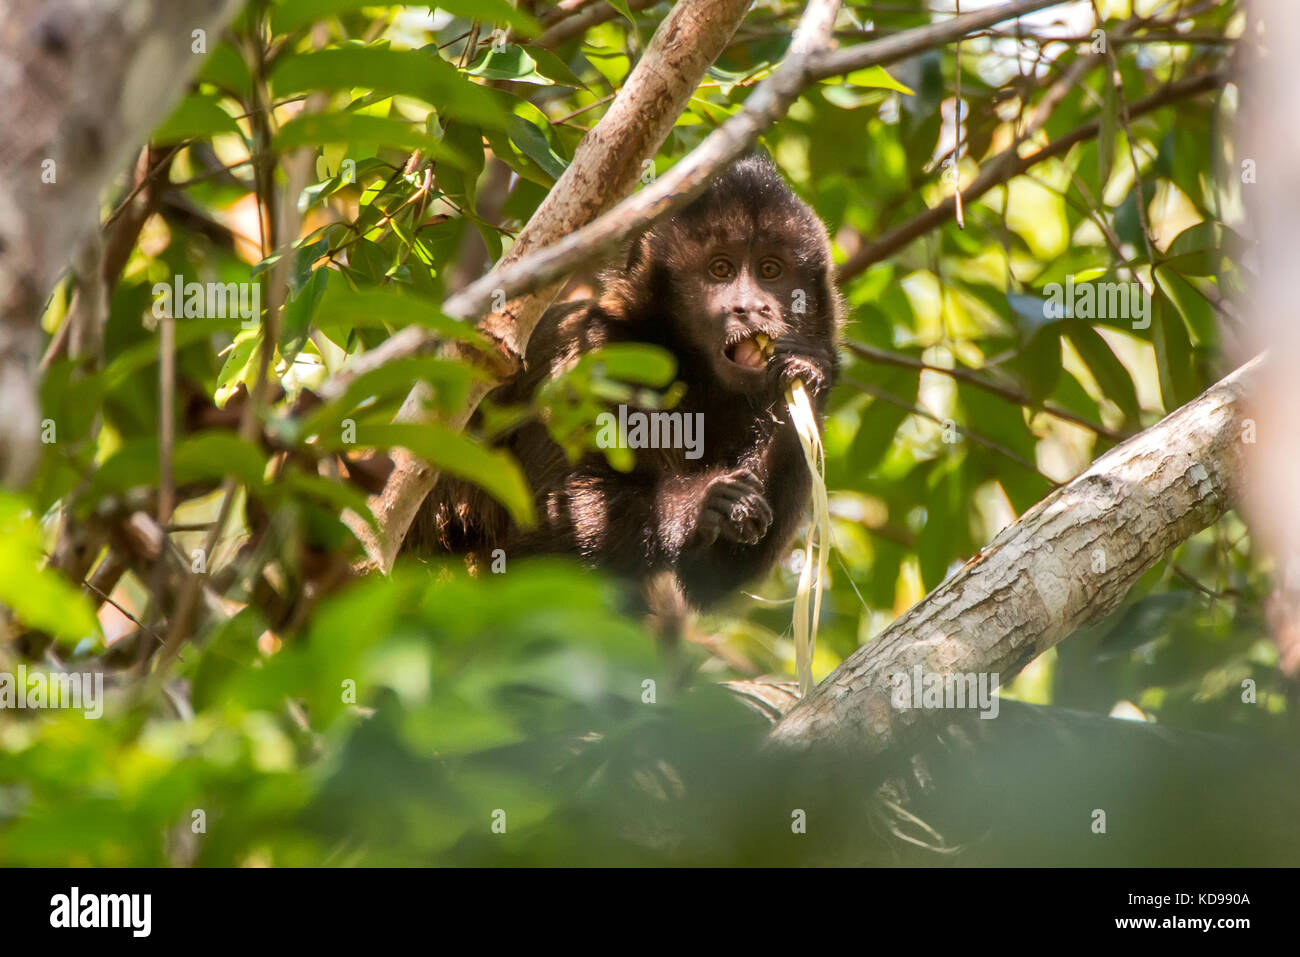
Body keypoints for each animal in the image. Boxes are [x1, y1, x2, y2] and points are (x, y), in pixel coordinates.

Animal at [410, 152, 847, 621]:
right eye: (720, 269)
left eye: (770, 270)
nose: (751, 307)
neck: (684, 362)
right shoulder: (591, 358)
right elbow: (538, 540)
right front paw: (701, 505)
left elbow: (714, 575)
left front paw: (808, 374)